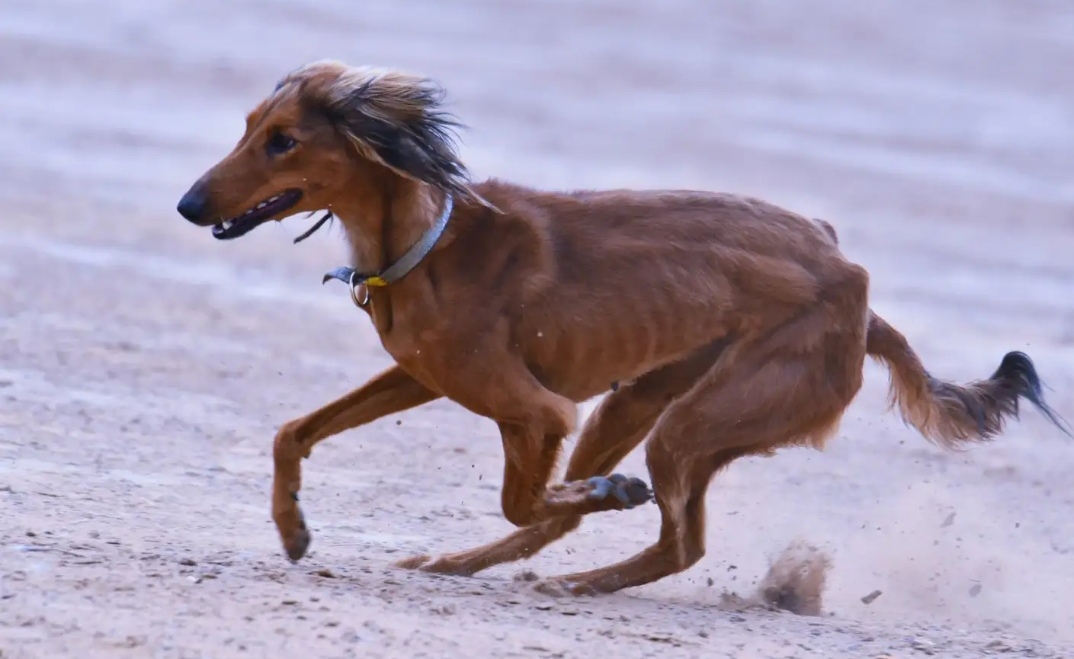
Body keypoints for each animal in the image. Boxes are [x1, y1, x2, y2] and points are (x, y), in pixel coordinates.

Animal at [176, 60, 1065, 601]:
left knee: (671, 543)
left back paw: (578, 571)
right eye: (249, 126)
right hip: (638, 400)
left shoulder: (537, 408)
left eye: (284, 140)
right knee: (570, 525)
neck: (426, 242)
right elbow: (294, 430)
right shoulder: (423, 375)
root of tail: (858, 289)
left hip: (691, 421)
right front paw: (292, 528)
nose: (189, 205)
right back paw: (465, 560)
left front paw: (607, 493)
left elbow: (523, 498)